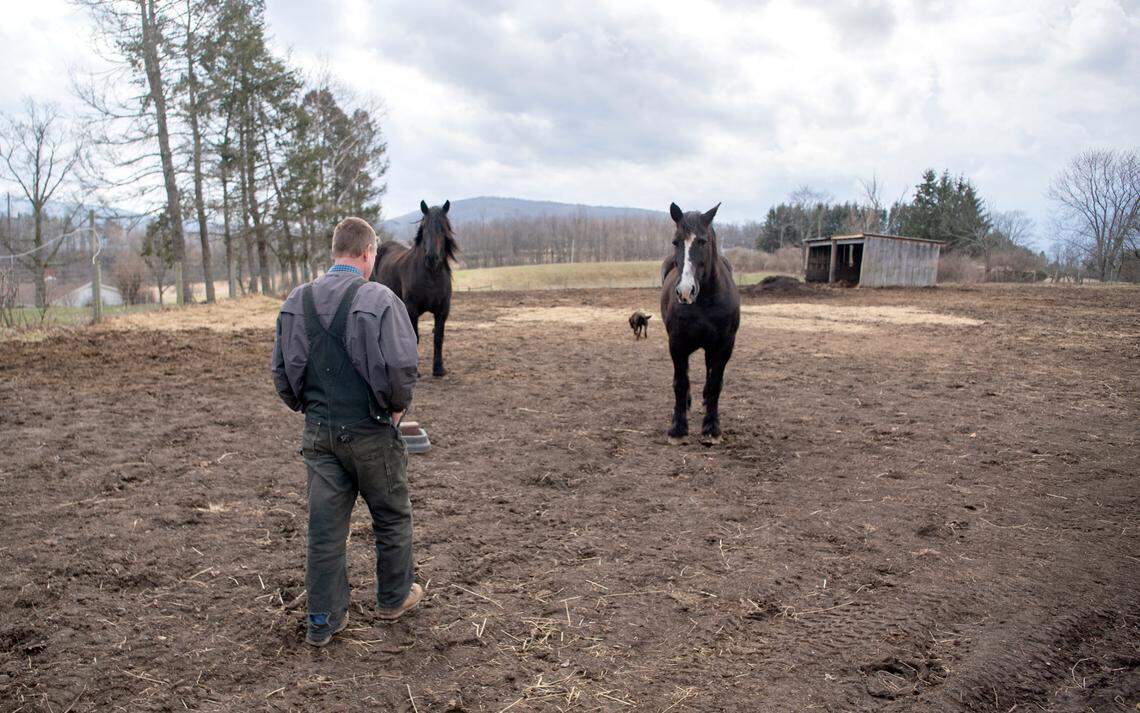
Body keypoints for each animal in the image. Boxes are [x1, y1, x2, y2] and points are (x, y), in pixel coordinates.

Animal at [372, 200, 458, 377]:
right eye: (424, 228)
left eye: (443, 228)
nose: (431, 258)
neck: (431, 276)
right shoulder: (412, 308)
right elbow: (415, 336)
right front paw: (415, 372)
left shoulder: (443, 310)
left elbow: (438, 337)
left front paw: (438, 369)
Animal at [659, 202, 740, 446]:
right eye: (676, 241)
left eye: (703, 241)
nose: (685, 291)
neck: (705, 300)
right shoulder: (677, 344)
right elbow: (680, 382)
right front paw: (678, 429)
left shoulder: (724, 345)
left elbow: (715, 383)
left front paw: (711, 429)